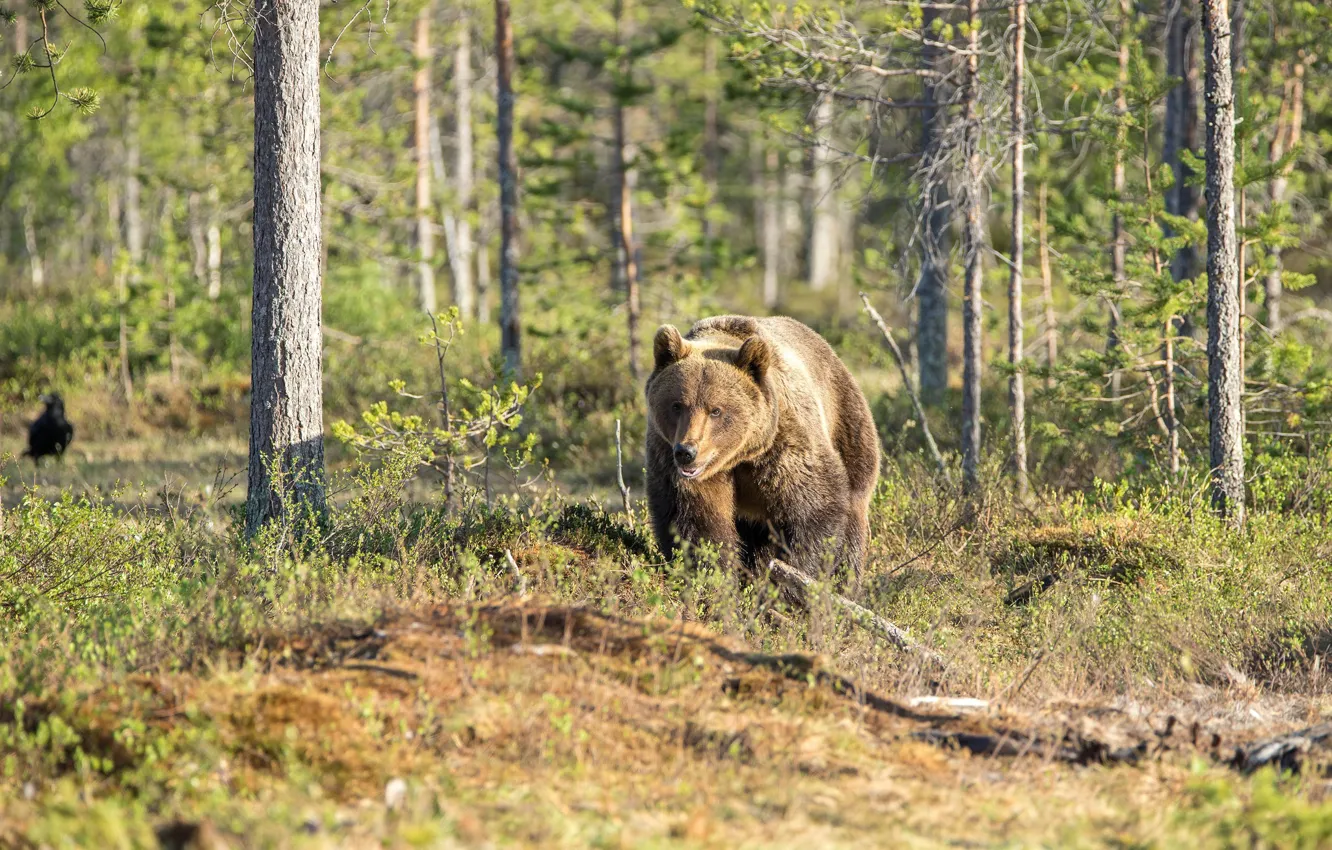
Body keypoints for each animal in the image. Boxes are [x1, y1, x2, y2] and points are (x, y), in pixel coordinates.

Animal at [644, 315, 880, 581]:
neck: (738, 456)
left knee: (852, 523)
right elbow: (696, 523)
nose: (686, 452)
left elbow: (814, 510)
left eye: (716, 410)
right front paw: (713, 575)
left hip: (850, 430)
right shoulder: (671, 459)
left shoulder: (783, 447)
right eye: (677, 405)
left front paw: (790, 575)